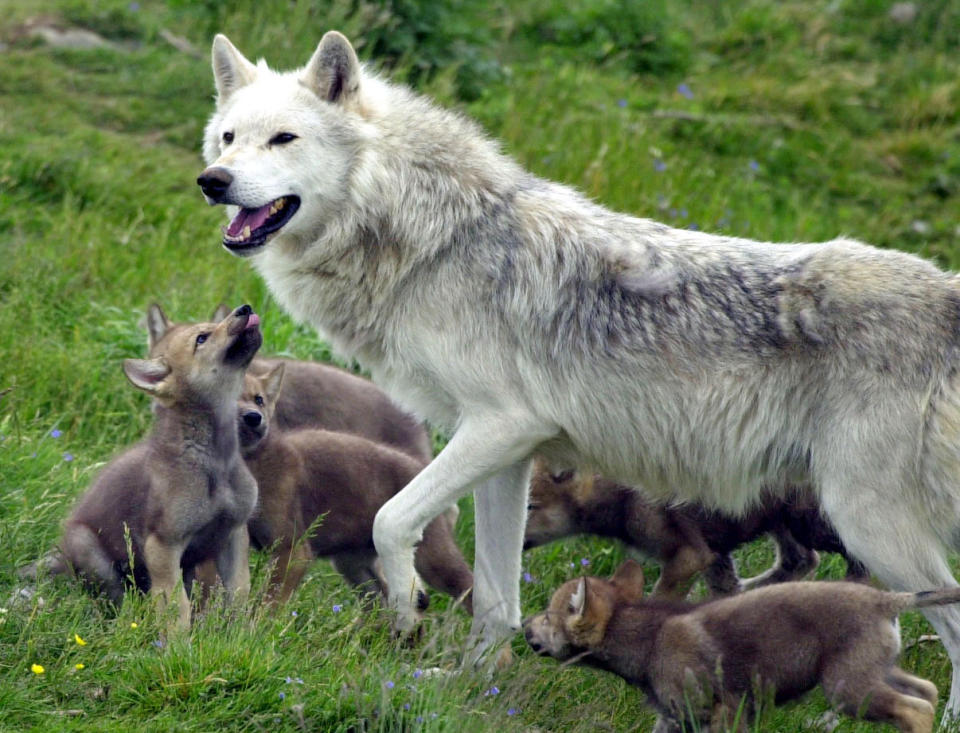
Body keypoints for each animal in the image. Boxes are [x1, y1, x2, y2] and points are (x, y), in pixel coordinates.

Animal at [199, 31, 960, 716]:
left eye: (284, 139)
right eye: (229, 138)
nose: (213, 181)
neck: (433, 241)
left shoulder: (499, 427)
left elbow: (391, 521)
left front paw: (408, 610)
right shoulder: (507, 451)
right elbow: (496, 597)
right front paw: (471, 687)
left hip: (869, 523)